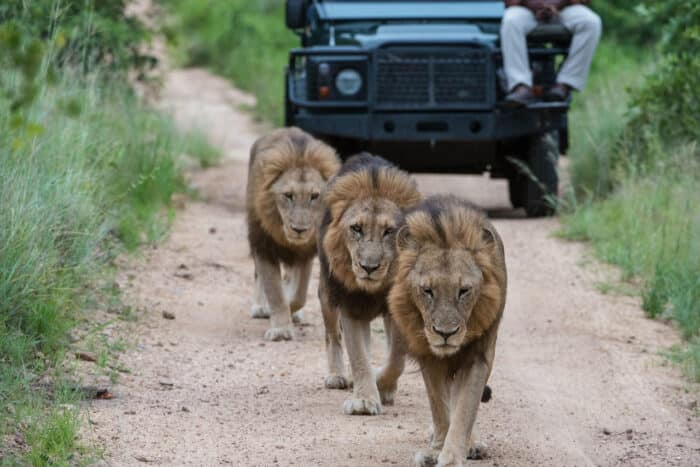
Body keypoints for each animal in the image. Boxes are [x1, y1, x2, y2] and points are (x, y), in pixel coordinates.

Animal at [246, 128, 342, 344]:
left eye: (314, 196)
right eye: (288, 195)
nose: (299, 229)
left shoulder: (306, 252)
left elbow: (299, 294)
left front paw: (291, 307)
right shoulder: (263, 245)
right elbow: (274, 291)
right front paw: (281, 329)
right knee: (257, 275)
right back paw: (260, 307)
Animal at [318, 154, 422, 416]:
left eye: (388, 231)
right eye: (356, 228)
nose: (369, 267)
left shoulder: (397, 309)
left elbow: (396, 358)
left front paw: (383, 386)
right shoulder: (349, 305)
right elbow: (358, 357)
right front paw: (364, 401)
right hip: (327, 294)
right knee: (333, 335)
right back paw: (337, 376)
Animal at [388, 196, 508, 466]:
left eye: (463, 291)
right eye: (427, 291)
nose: (446, 333)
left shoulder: (477, 356)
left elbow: (465, 409)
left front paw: (452, 456)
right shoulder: (428, 356)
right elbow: (439, 407)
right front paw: (435, 450)